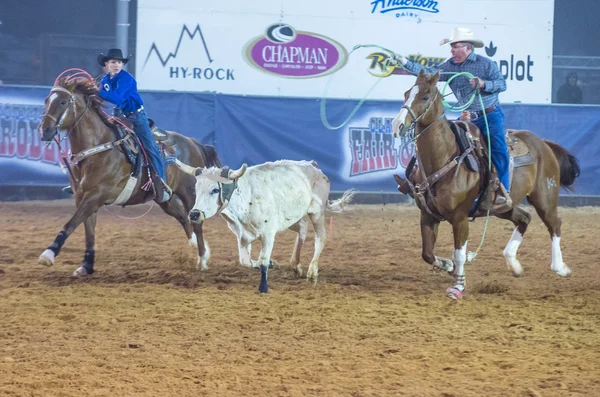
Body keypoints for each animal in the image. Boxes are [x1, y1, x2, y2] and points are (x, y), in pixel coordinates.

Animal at [37, 76, 221, 276]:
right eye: (46, 101)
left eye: (63, 102)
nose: (44, 130)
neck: (98, 149)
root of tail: (193, 143)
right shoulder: (83, 198)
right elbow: (89, 232)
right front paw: (87, 265)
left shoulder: (96, 196)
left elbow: (70, 224)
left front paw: (48, 254)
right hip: (165, 198)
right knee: (182, 217)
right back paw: (196, 247)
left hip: (189, 193)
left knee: (197, 222)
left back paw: (202, 259)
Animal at [392, 71, 580, 298]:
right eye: (406, 94)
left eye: (425, 97)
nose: (397, 125)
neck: (446, 157)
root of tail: (543, 143)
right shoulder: (427, 216)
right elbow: (427, 254)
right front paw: (447, 266)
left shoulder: (460, 217)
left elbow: (460, 254)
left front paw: (458, 286)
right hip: (502, 207)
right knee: (524, 218)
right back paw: (513, 263)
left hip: (545, 198)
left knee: (554, 224)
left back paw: (559, 267)